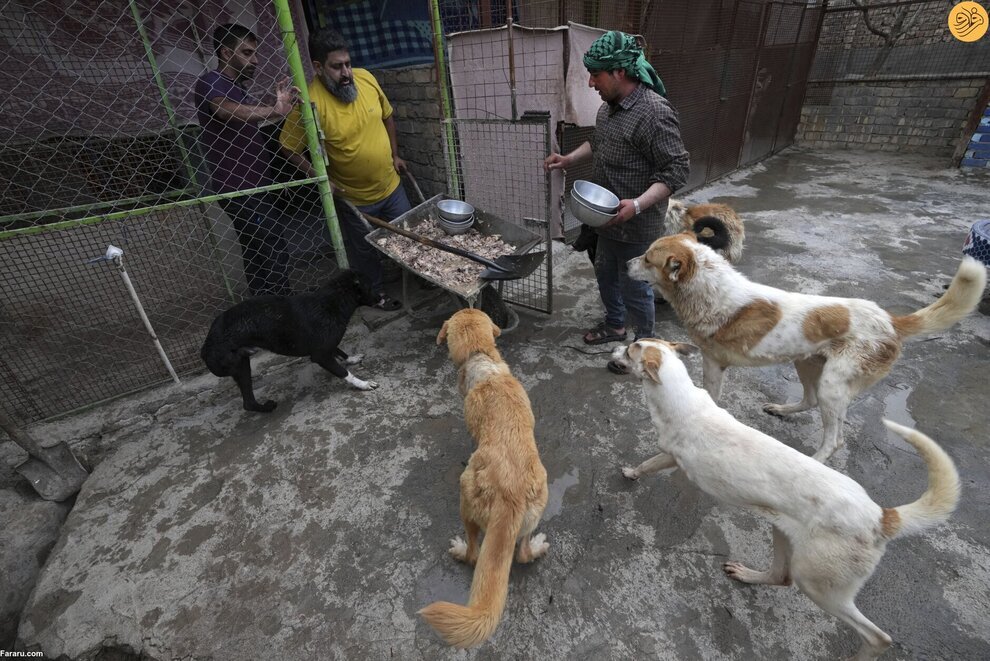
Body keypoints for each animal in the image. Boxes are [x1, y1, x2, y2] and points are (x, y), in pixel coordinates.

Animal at [200, 266, 382, 410]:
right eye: (371, 286)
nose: (384, 297)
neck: (332, 302)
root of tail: (205, 346)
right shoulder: (320, 355)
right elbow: (344, 373)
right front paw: (363, 384)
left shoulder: (326, 345)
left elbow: (340, 351)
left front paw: (351, 358)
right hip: (240, 364)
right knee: (248, 403)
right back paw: (268, 408)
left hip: (242, 364)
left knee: (248, 402)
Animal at [420, 308, 556, 644]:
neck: (482, 360)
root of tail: (509, 496)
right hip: (536, 507)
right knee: (522, 553)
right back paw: (537, 547)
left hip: (465, 497)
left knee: (473, 553)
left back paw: (460, 550)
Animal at [616, 340, 964, 660]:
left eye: (632, 348)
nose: (617, 346)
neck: (679, 395)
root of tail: (882, 516)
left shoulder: (669, 456)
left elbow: (647, 464)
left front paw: (630, 472)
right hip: (782, 533)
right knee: (780, 577)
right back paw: (748, 575)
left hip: (818, 584)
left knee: (878, 638)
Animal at [628, 235, 984, 462]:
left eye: (647, 258)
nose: (626, 262)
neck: (708, 288)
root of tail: (890, 321)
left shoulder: (713, 363)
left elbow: (709, 397)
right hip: (808, 364)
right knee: (810, 400)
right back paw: (781, 410)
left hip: (833, 385)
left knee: (835, 439)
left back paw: (817, 458)